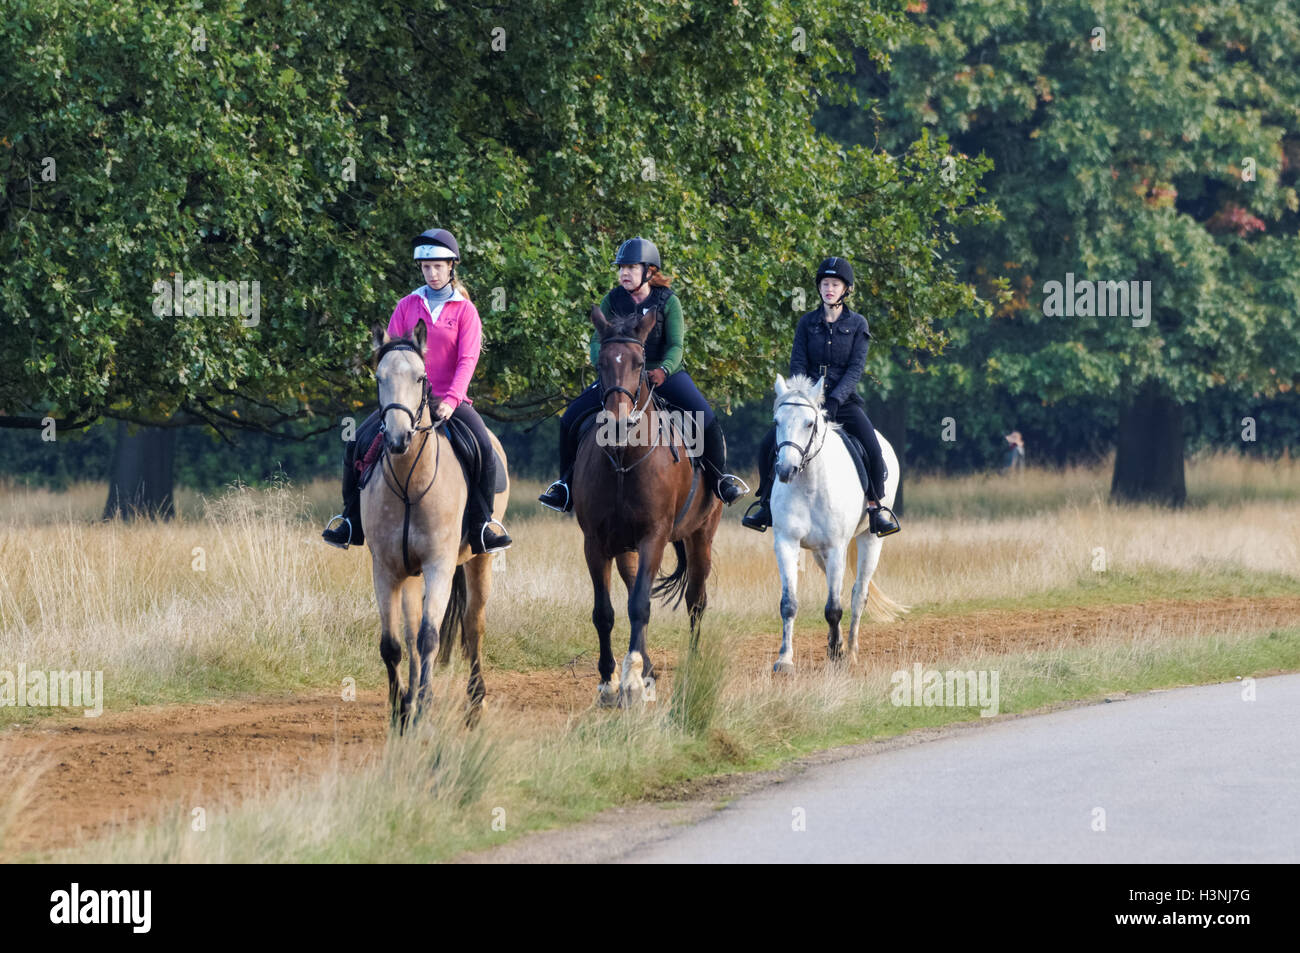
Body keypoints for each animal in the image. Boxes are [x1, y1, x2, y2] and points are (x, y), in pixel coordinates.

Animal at [362, 319, 510, 727]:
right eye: (379, 377)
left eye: (420, 377)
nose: (398, 438)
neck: (409, 483)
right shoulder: (386, 569)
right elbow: (393, 644)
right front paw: (401, 712)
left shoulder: (439, 565)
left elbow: (430, 637)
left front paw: (424, 705)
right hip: (410, 574)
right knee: (412, 633)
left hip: (479, 560)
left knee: (473, 627)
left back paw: (475, 704)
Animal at [574, 305, 722, 708]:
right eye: (601, 362)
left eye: (640, 362)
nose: (618, 422)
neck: (624, 461)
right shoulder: (595, 543)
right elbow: (605, 612)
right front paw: (608, 681)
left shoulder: (654, 537)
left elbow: (641, 605)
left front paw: (632, 683)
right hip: (624, 547)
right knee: (630, 589)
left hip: (700, 537)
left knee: (695, 599)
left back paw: (692, 660)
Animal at [768, 374, 907, 672]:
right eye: (776, 422)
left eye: (810, 423)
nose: (785, 470)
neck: (810, 484)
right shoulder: (786, 543)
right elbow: (789, 603)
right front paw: (784, 659)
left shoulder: (836, 547)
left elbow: (833, 608)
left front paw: (835, 654)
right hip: (819, 553)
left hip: (869, 540)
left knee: (858, 595)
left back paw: (851, 650)